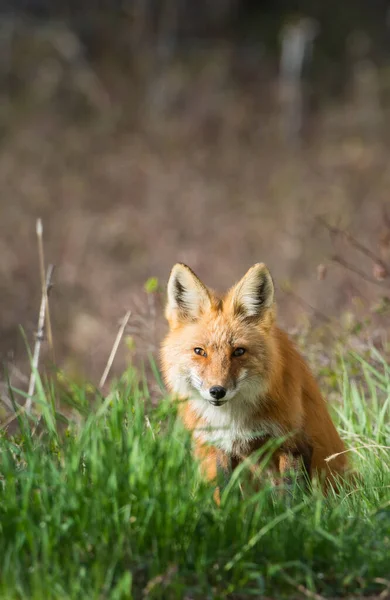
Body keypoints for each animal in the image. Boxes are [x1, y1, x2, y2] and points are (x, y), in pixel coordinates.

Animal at [160, 262, 348, 492]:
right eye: (199, 351)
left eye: (239, 351)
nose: (217, 391)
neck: (233, 420)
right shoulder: (218, 446)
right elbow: (225, 493)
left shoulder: (292, 443)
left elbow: (292, 496)